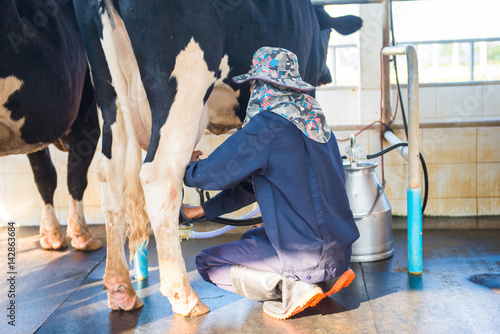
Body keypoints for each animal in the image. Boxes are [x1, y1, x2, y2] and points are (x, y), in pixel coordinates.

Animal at [0, 0, 102, 250]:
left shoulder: (35, 127)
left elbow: (44, 175)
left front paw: (52, 233)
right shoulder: (87, 112)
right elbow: (76, 174)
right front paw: (81, 234)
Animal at [72, 0, 362, 318]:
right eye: (327, 36)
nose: (327, 75)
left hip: (108, 93)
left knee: (108, 173)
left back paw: (120, 289)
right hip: (184, 86)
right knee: (160, 174)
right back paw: (184, 297)